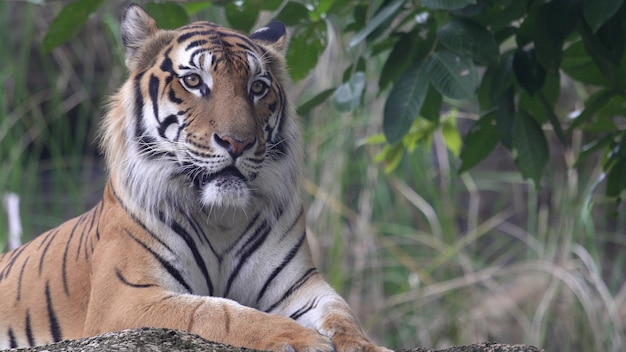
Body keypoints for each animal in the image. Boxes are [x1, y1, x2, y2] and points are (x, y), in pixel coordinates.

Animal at [0, 3, 388, 352]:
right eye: (193, 81)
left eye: (258, 87)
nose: (238, 142)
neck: (221, 218)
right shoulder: (126, 298)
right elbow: (216, 312)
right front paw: (300, 338)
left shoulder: (300, 286)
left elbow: (342, 315)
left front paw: (367, 346)